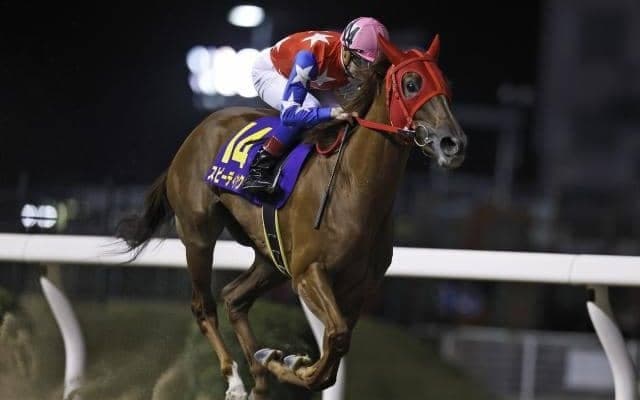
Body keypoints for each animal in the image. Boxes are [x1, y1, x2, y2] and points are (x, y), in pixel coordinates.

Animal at [116, 34, 466, 400]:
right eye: (412, 84)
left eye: (445, 85)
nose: (453, 143)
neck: (353, 187)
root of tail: (195, 134)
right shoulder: (308, 272)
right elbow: (335, 337)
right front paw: (289, 363)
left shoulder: (360, 286)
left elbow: (334, 353)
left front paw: (284, 362)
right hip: (198, 235)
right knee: (204, 306)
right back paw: (236, 380)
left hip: (271, 257)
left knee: (234, 298)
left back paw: (259, 378)